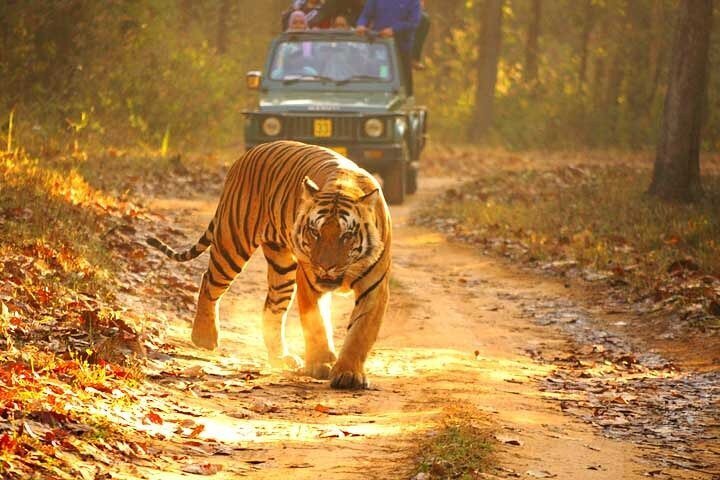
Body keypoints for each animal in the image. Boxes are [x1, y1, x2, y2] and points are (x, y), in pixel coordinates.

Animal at [148, 139, 394, 390]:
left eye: (346, 236)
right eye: (315, 232)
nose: (324, 267)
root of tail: (248, 154)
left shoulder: (374, 288)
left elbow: (360, 332)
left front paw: (348, 373)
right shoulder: (309, 281)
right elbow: (315, 324)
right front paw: (320, 364)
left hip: (281, 268)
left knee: (272, 308)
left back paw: (280, 357)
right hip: (232, 243)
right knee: (209, 281)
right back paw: (204, 337)